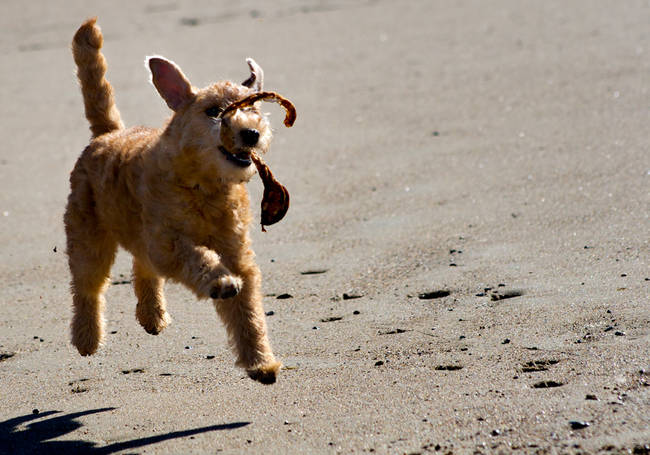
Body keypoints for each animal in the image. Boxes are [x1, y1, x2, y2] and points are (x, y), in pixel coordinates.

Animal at [62, 16, 280, 384]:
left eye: (254, 108)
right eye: (214, 111)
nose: (252, 133)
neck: (205, 187)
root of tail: (107, 133)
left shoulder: (238, 256)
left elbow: (249, 315)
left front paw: (261, 363)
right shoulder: (168, 243)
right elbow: (198, 258)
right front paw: (220, 282)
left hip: (135, 236)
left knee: (142, 268)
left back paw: (152, 316)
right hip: (88, 235)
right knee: (87, 287)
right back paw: (86, 338)